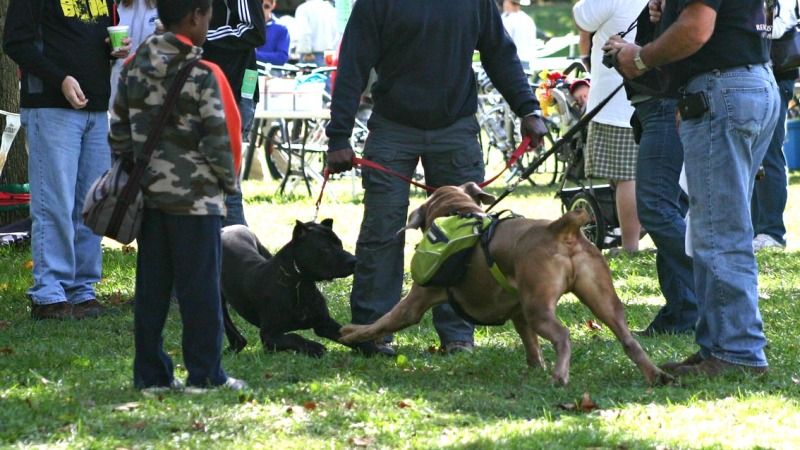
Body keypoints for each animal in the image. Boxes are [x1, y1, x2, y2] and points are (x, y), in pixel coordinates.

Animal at [222, 220, 372, 356]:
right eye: (325, 248)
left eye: (340, 244)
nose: (354, 261)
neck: (301, 284)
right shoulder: (269, 335)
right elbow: (294, 337)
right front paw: (313, 347)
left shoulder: (324, 323)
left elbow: (351, 336)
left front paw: (373, 349)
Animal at [340, 181, 672, 384]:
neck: (460, 211)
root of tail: (560, 228)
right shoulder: (519, 313)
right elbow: (531, 345)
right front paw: (534, 368)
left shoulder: (414, 304)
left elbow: (380, 322)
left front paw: (351, 333)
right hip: (603, 302)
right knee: (629, 341)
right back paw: (656, 375)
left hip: (541, 308)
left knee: (563, 335)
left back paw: (560, 376)